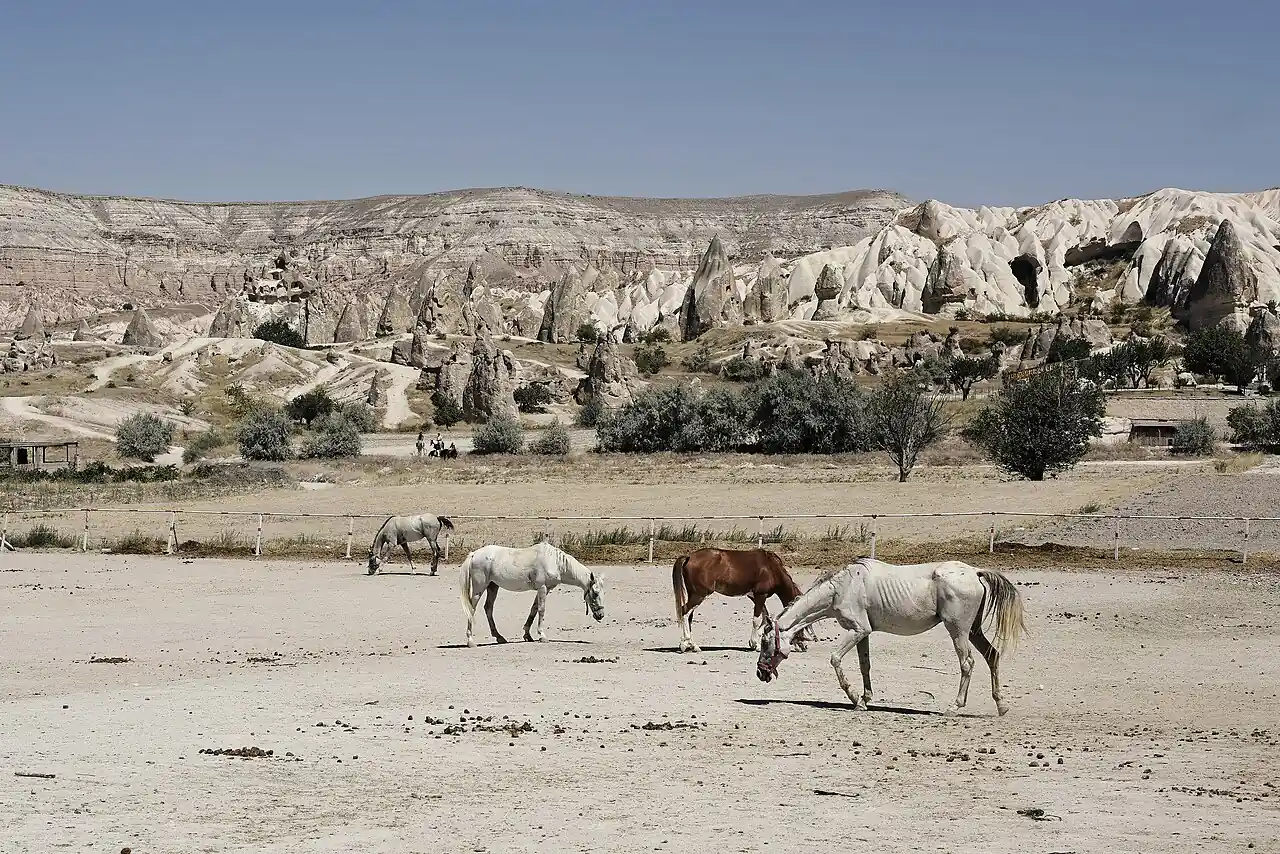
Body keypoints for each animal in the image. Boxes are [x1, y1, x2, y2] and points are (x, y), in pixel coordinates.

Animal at [459, 542, 605, 647]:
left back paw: (499, 637)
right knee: (472, 609)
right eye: (595, 593)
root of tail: (474, 554)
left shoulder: (545, 589)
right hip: (479, 588)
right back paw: (470, 641)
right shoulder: (542, 588)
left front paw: (528, 635)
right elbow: (541, 610)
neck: (555, 562)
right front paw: (542, 636)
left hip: (492, 587)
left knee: (488, 608)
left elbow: (533, 610)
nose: (600, 615)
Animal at [672, 547, 818, 654]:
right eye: (803, 627)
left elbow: (765, 618)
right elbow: (757, 620)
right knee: (684, 612)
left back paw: (693, 646)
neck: (771, 568)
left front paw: (755, 644)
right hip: (699, 595)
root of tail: (689, 557)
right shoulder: (760, 595)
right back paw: (686, 644)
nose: (804, 647)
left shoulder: (754, 596)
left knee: (689, 617)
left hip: (694, 594)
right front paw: (755, 645)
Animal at [756, 557, 1025, 716]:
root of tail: (975, 572)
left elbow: (835, 659)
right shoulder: (863, 633)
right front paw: (864, 700)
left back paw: (954, 706)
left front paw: (854, 698)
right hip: (973, 630)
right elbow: (865, 665)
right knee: (992, 655)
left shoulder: (856, 631)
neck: (841, 589)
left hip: (958, 630)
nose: (760, 673)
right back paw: (1001, 706)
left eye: (765, 642)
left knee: (967, 663)